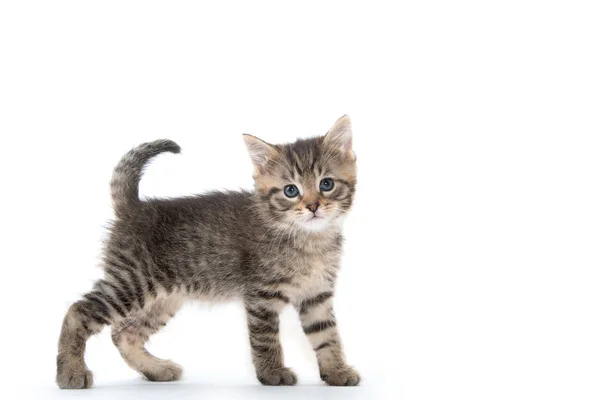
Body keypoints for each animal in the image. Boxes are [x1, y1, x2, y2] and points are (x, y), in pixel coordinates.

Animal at [56, 115, 358, 388]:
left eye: (326, 184)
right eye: (291, 191)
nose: (313, 206)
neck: (310, 239)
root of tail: (135, 207)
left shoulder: (317, 294)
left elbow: (327, 336)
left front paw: (337, 371)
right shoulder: (260, 296)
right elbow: (265, 338)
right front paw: (272, 373)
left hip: (164, 297)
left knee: (124, 333)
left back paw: (156, 369)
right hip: (132, 281)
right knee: (78, 311)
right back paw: (70, 373)